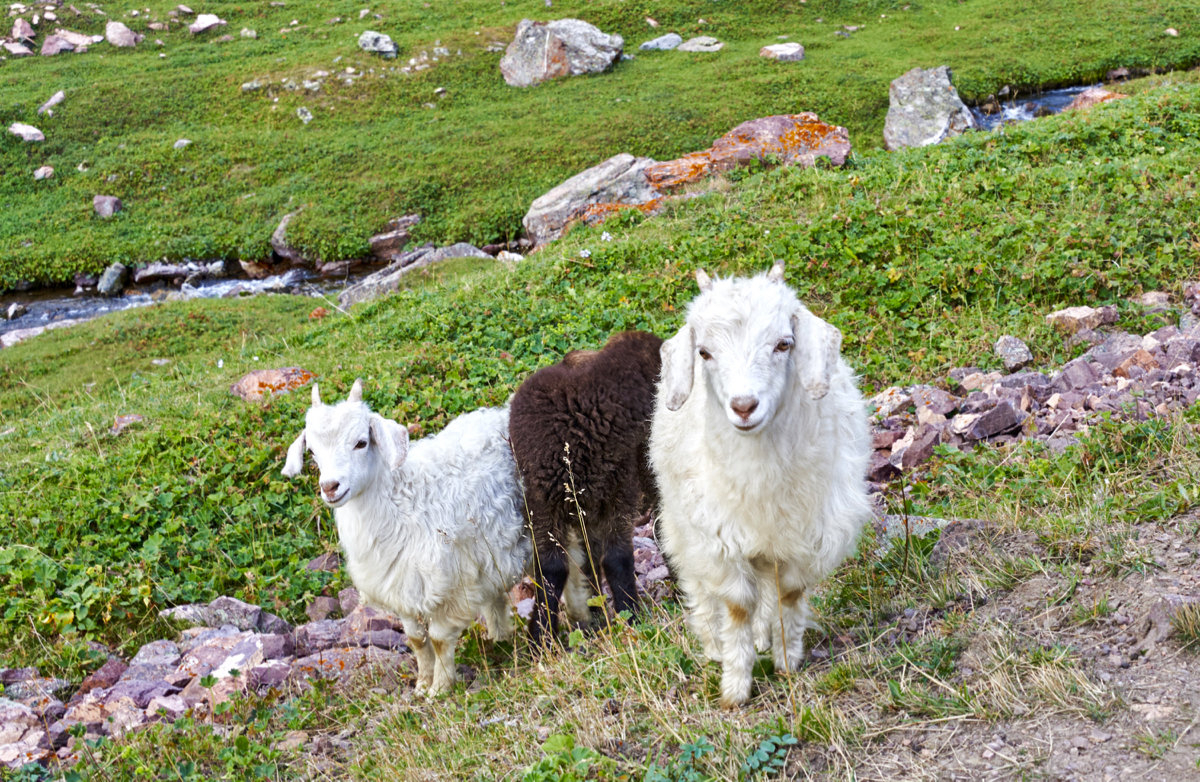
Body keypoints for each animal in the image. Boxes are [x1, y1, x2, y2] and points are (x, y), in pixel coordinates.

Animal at [280, 381, 530, 695]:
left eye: (361, 442)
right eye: (312, 451)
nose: (330, 487)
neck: (403, 501)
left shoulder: (452, 584)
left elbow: (438, 639)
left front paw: (440, 688)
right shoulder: (401, 586)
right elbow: (416, 640)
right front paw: (422, 684)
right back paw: (500, 641)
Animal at [508, 331, 667, 647]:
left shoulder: (621, 490)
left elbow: (617, 558)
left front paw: (630, 618)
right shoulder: (542, 503)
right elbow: (552, 570)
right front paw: (540, 639)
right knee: (590, 556)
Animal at [648, 262, 873, 710]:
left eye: (784, 344)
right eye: (704, 352)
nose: (744, 406)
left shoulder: (807, 535)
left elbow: (789, 595)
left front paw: (787, 660)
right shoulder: (717, 539)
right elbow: (736, 606)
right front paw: (735, 687)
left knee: (768, 592)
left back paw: (765, 637)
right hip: (681, 528)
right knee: (702, 592)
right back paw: (714, 645)